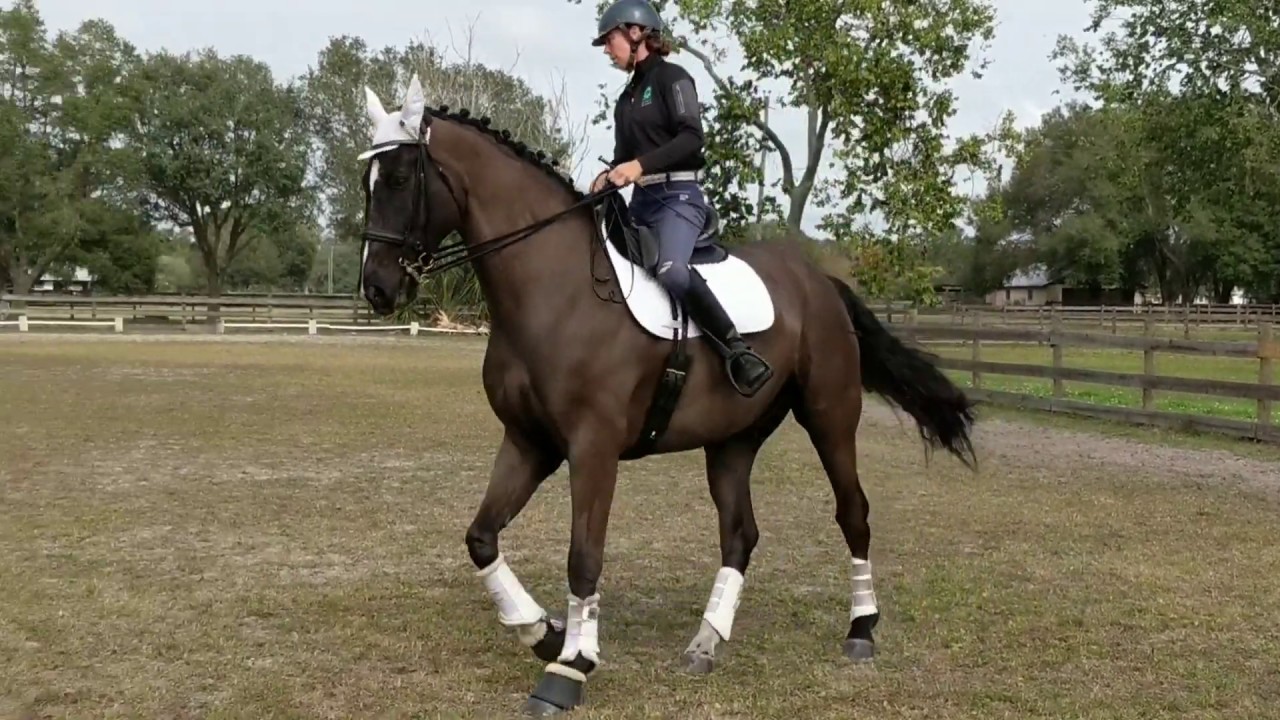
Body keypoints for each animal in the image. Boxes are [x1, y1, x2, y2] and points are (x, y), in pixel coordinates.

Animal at [356, 75, 978, 716]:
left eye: (399, 179)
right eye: (366, 183)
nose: (376, 288)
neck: (554, 289)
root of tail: (819, 282)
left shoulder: (592, 449)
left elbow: (584, 556)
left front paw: (570, 666)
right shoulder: (528, 442)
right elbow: (481, 538)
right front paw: (544, 632)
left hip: (830, 418)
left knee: (852, 513)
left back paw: (861, 629)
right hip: (732, 440)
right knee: (739, 533)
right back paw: (706, 641)